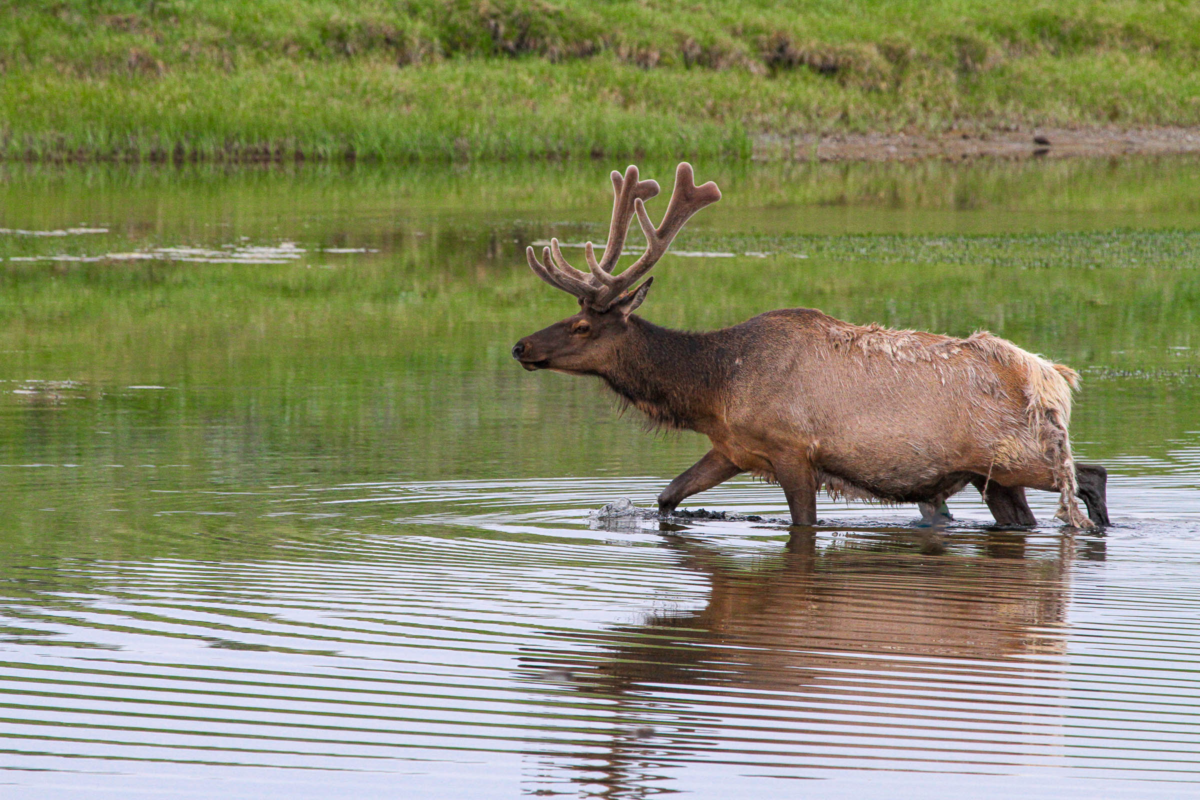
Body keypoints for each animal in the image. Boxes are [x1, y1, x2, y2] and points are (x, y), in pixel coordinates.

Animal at [511, 163, 1109, 530]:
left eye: (582, 326)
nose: (520, 346)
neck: (715, 387)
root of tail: (1052, 378)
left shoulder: (792, 449)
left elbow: (805, 523)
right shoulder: (733, 448)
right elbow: (667, 495)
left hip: (1016, 454)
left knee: (1089, 476)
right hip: (996, 478)